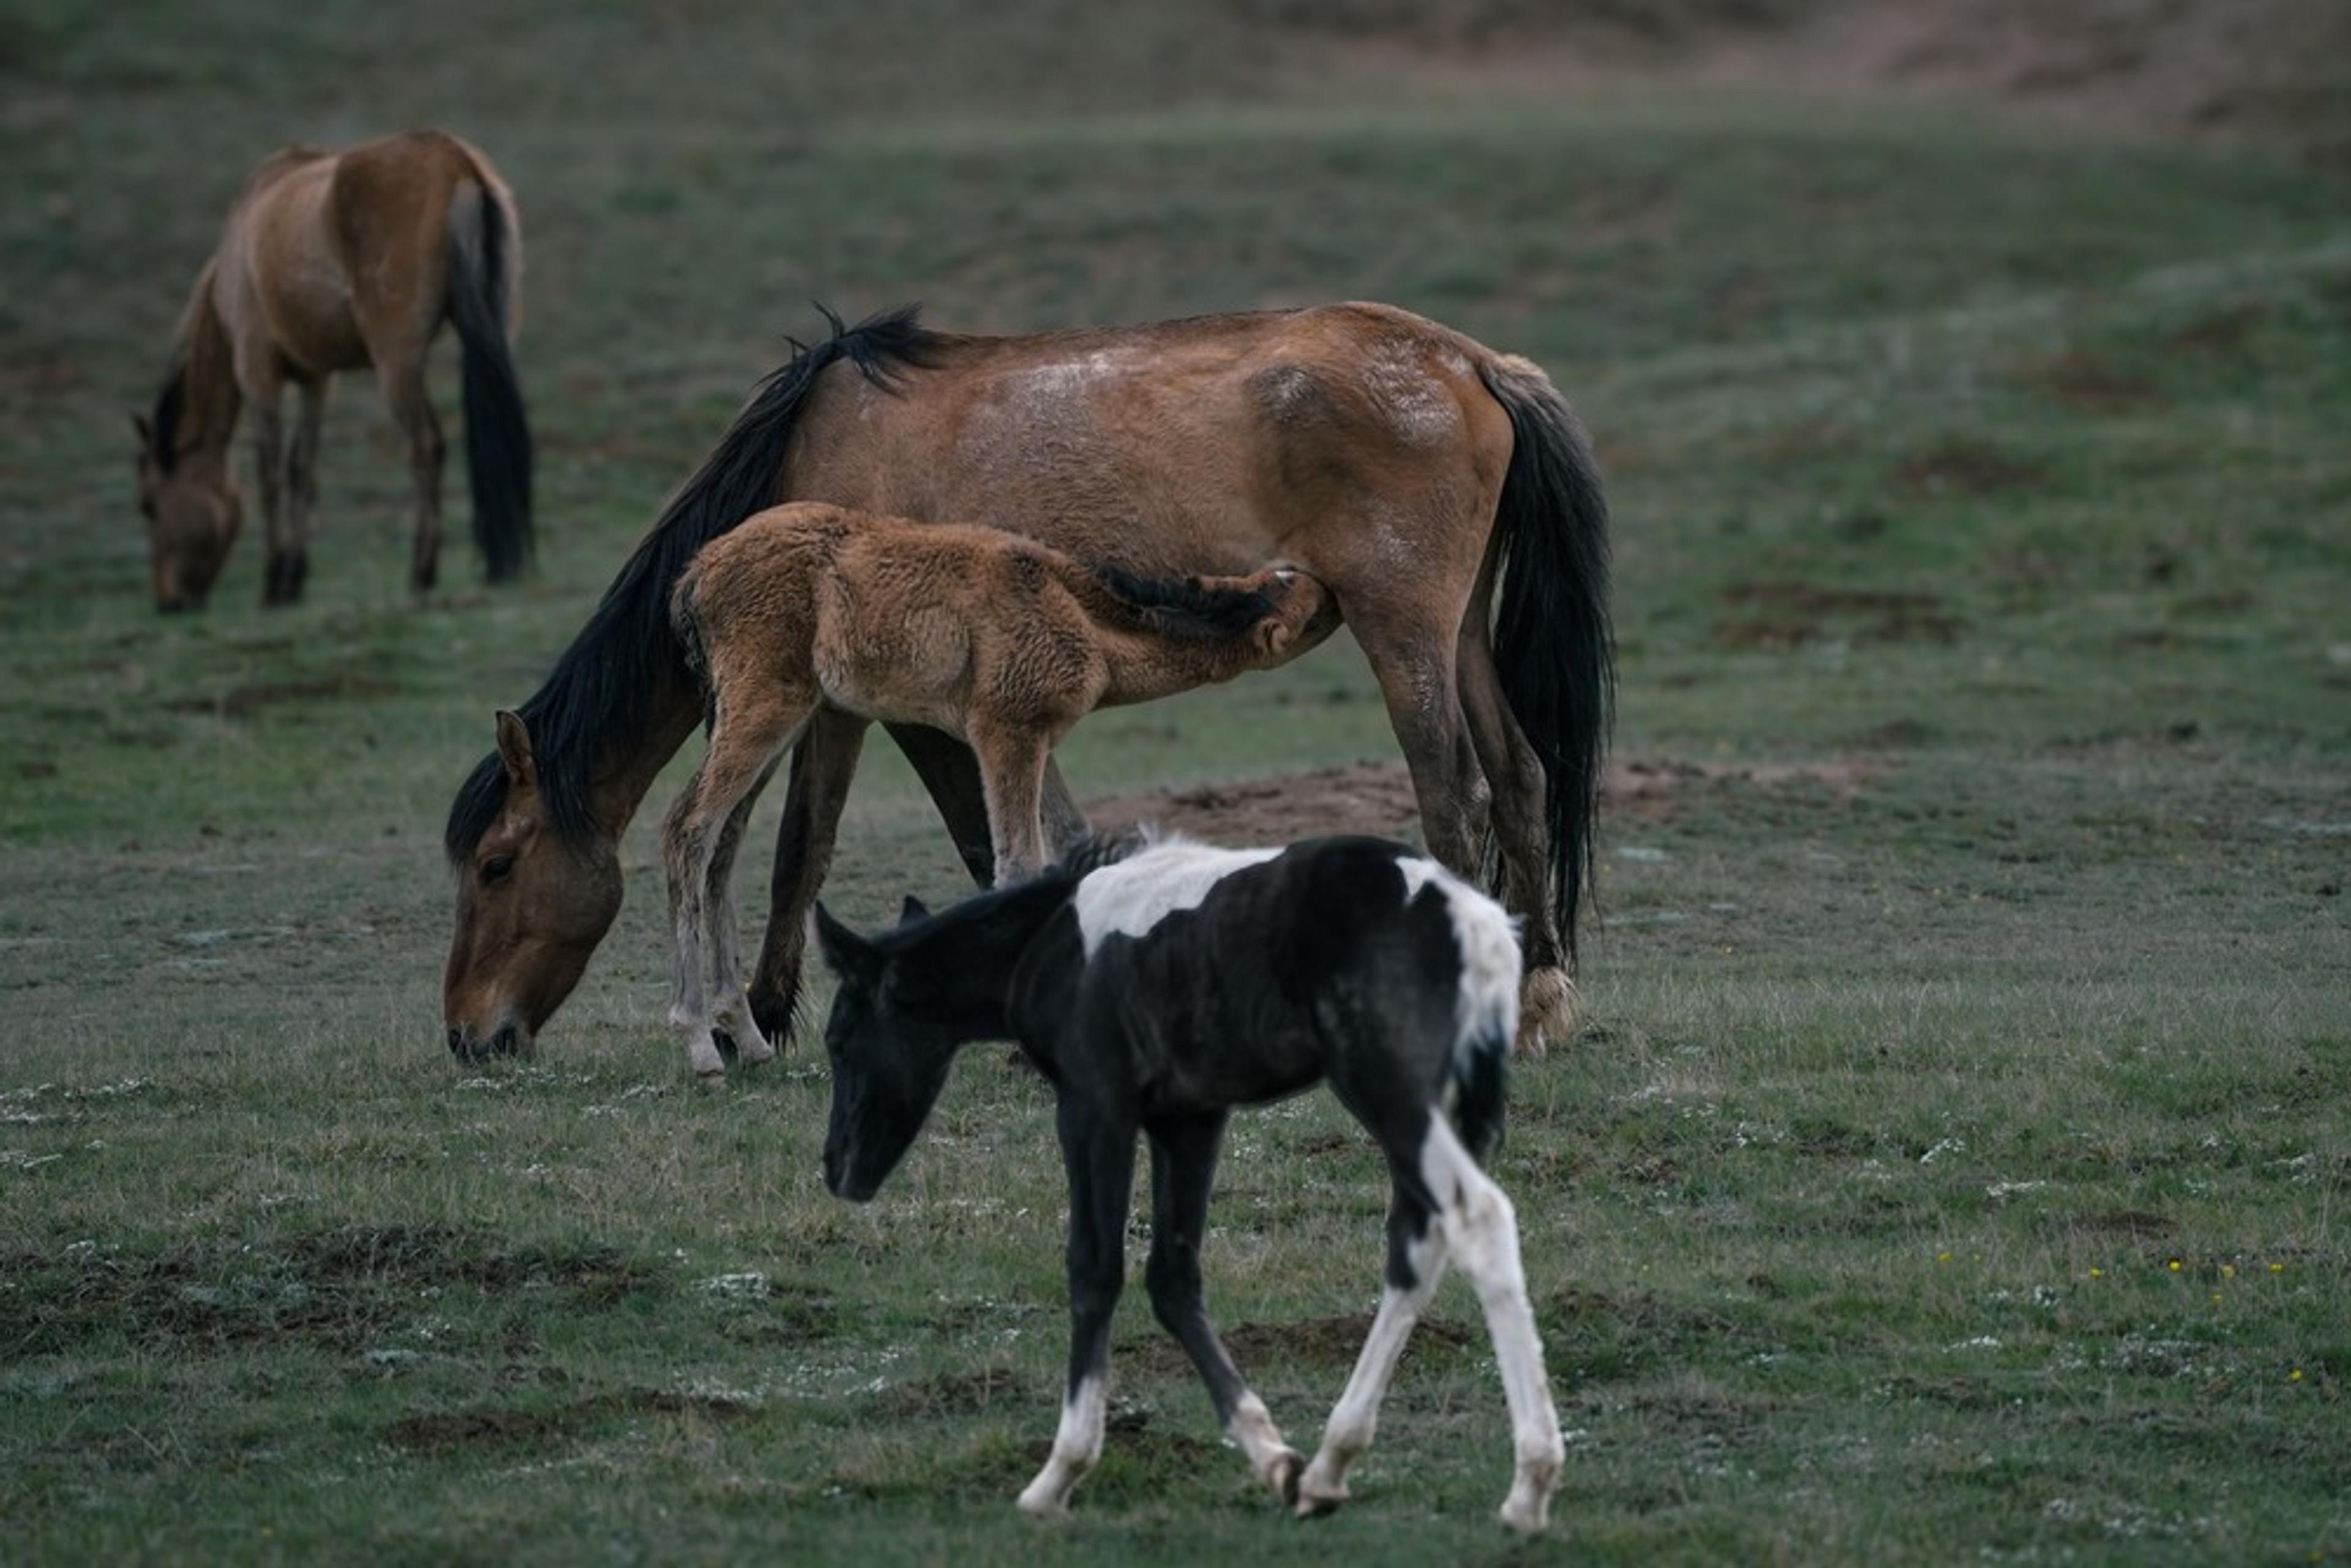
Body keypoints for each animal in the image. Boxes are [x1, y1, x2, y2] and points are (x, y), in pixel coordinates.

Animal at [135, 130, 532, 611]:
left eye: (149, 504)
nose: (168, 601)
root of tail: (457, 160)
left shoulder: (257, 372)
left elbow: (270, 474)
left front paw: (274, 582)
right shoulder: (316, 380)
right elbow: (302, 469)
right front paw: (295, 579)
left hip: (396, 362)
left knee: (425, 447)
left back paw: (421, 572)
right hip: (494, 335)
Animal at [660, 500, 1337, 1079]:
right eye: (1304, 599)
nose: (1336, 588)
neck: (1077, 611)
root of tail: (696, 574)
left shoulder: (1038, 740)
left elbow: (1073, 854)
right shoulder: (1005, 733)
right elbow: (1018, 866)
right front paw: (1028, 1053)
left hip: (774, 716)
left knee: (725, 841)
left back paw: (746, 1036)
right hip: (765, 705)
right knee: (689, 826)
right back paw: (699, 1042)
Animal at [813, 833, 1566, 1532]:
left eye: (840, 1037)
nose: (836, 1166)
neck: (1054, 939)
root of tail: (1473, 919)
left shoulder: (1094, 1106)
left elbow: (1094, 1268)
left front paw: (1058, 1474)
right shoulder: (1191, 1117)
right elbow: (1173, 1277)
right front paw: (1273, 1458)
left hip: (1390, 1090)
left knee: (1477, 1219)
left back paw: (1529, 1484)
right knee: (1416, 1245)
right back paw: (1329, 1466)